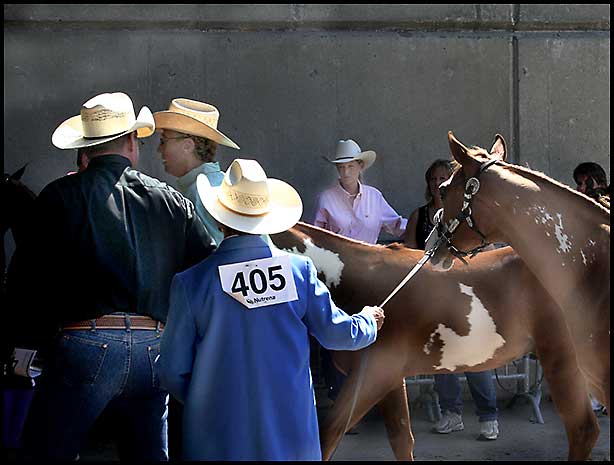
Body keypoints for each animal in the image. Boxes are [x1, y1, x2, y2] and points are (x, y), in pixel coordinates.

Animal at [270, 222, 600, 460]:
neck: (356, 280)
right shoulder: (390, 378)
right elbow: (401, 438)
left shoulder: (373, 375)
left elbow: (329, 434)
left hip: (562, 359)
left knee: (583, 429)